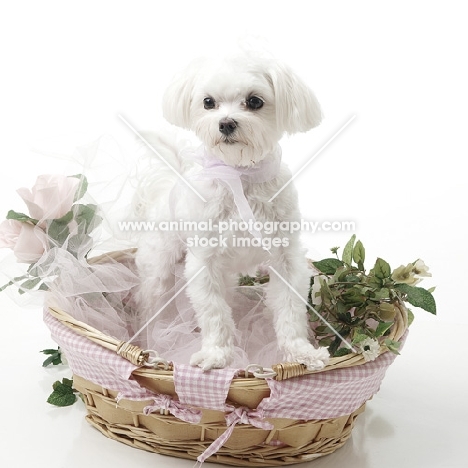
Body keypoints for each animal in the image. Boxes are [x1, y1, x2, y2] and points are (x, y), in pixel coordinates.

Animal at [133, 53, 330, 372]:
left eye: (254, 101)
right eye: (208, 102)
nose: (226, 123)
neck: (240, 177)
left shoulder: (286, 258)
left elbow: (290, 310)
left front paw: (301, 353)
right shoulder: (204, 264)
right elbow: (213, 313)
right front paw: (217, 354)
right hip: (158, 272)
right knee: (151, 304)